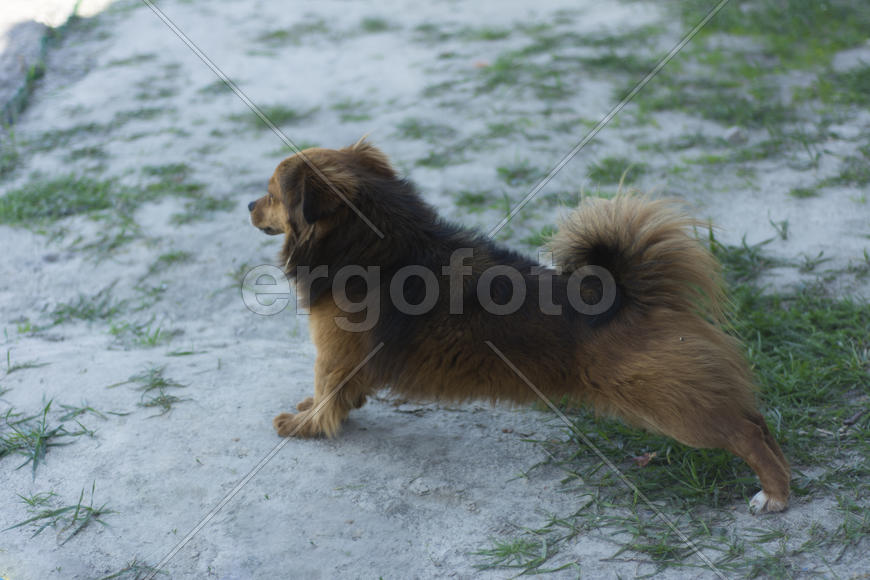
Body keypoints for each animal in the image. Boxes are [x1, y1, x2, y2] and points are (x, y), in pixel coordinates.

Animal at [249, 139, 792, 512]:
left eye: (271, 194)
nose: (248, 205)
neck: (373, 246)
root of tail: (633, 293)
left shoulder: (334, 356)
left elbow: (327, 394)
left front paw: (303, 426)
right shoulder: (347, 363)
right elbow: (336, 395)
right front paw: (314, 411)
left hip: (668, 404)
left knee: (744, 433)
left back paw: (774, 496)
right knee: (757, 421)